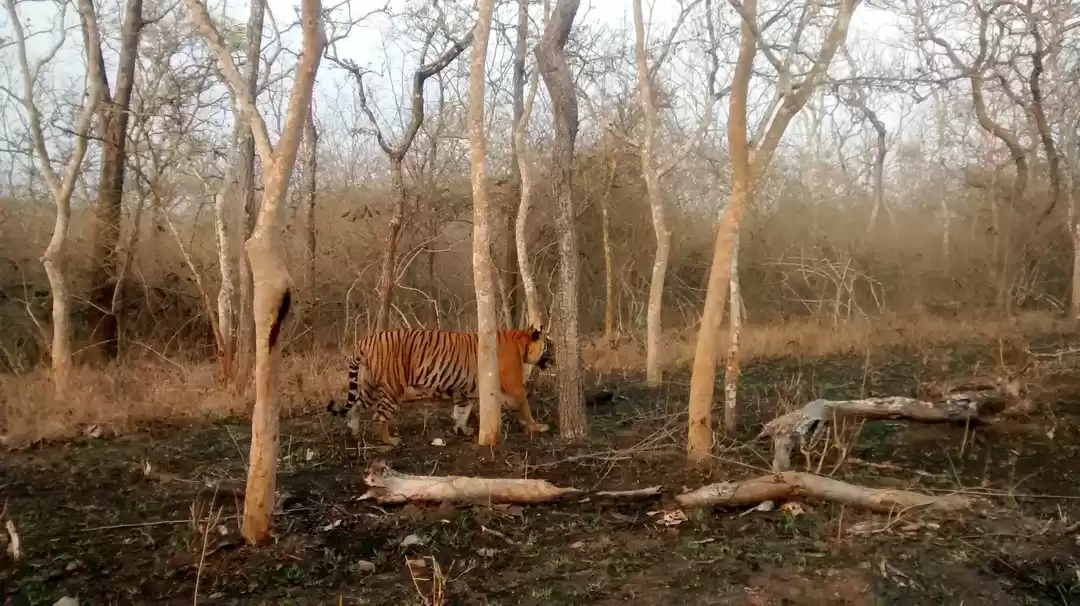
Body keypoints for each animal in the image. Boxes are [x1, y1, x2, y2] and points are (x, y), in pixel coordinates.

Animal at [325, 324, 554, 446]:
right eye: (549, 345)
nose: (555, 356)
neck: (521, 343)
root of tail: (366, 340)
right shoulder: (514, 386)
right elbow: (525, 407)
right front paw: (536, 426)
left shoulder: (465, 389)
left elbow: (462, 410)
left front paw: (462, 429)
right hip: (392, 387)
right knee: (378, 417)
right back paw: (390, 440)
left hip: (369, 386)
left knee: (355, 407)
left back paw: (354, 432)